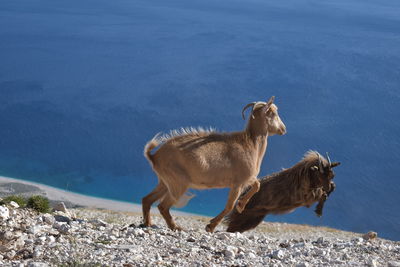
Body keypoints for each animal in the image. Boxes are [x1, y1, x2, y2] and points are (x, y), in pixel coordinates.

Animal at [142, 96, 286, 232]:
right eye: (273, 112)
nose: (283, 129)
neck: (251, 144)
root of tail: (154, 156)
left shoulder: (246, 180)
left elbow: (257, 184)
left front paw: (240, 205)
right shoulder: (238, 182)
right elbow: (230, 205)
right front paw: (211, 225)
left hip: (165, 182)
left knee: (147, 199)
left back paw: (148, 223)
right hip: (178, 183)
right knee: (163, 206)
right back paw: (175, 227)